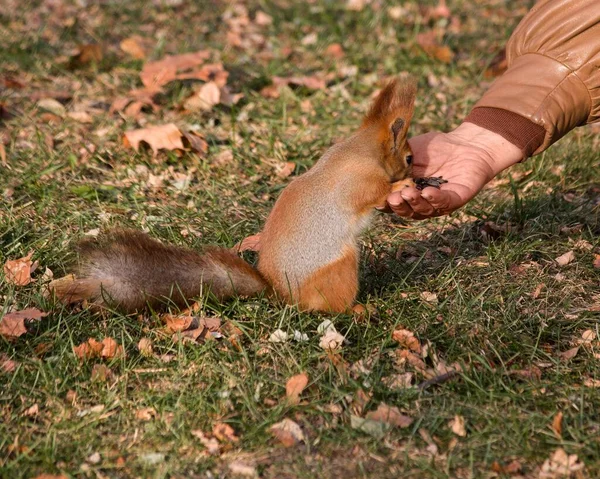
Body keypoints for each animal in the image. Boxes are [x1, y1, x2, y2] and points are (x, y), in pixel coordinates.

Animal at [50, 78, 418, 316]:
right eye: (409, 157)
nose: (414, 169)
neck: (360, 151)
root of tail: (279, 294)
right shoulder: (361, 182)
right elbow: (375, 195)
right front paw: (401, 187)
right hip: (340, 268)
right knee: (331, 308)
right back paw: (358, 309)